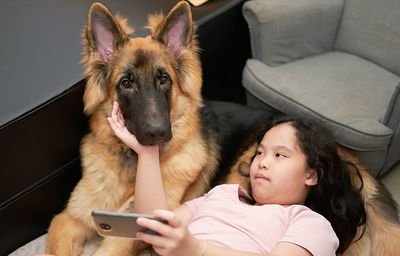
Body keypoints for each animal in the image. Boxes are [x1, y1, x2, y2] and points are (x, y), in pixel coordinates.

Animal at [47, 1, 400, 255]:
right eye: (126, 83)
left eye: (164, 79)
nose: (158, 132)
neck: (134, 164)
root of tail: (353, 164)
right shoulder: (69, 220)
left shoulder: (134, 232)